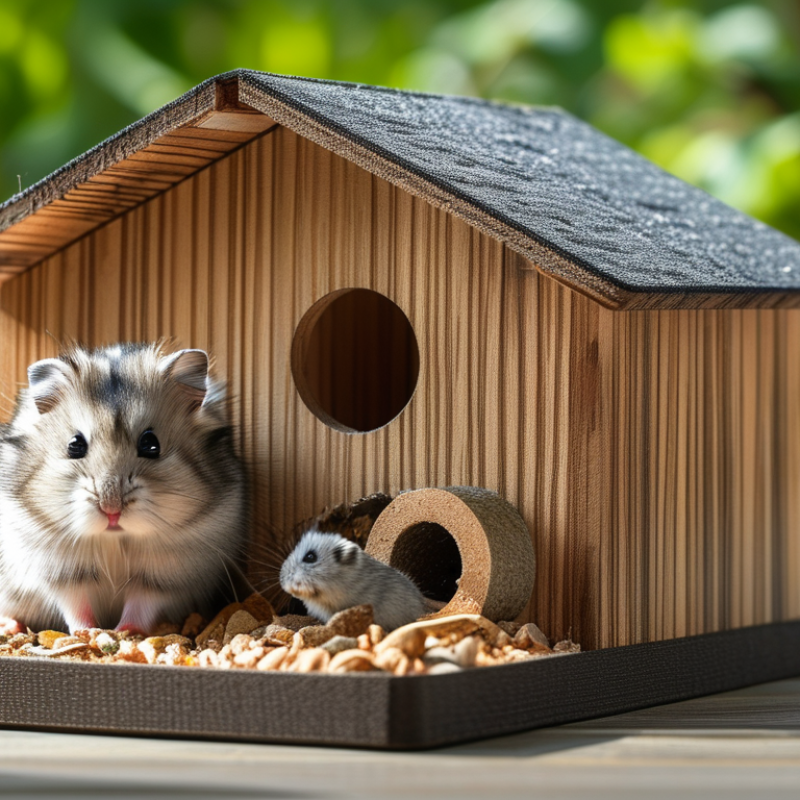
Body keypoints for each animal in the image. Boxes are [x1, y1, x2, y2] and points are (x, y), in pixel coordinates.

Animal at [0, 343, 249, 635]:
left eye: (151, 444)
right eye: (74, 445)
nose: (111, 511)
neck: (114, 540)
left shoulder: (163, 578)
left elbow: (141, 605)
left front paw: (123, 632)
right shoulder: (62, 574)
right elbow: (76, 606)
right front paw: (88, 633)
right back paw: (10, 626)